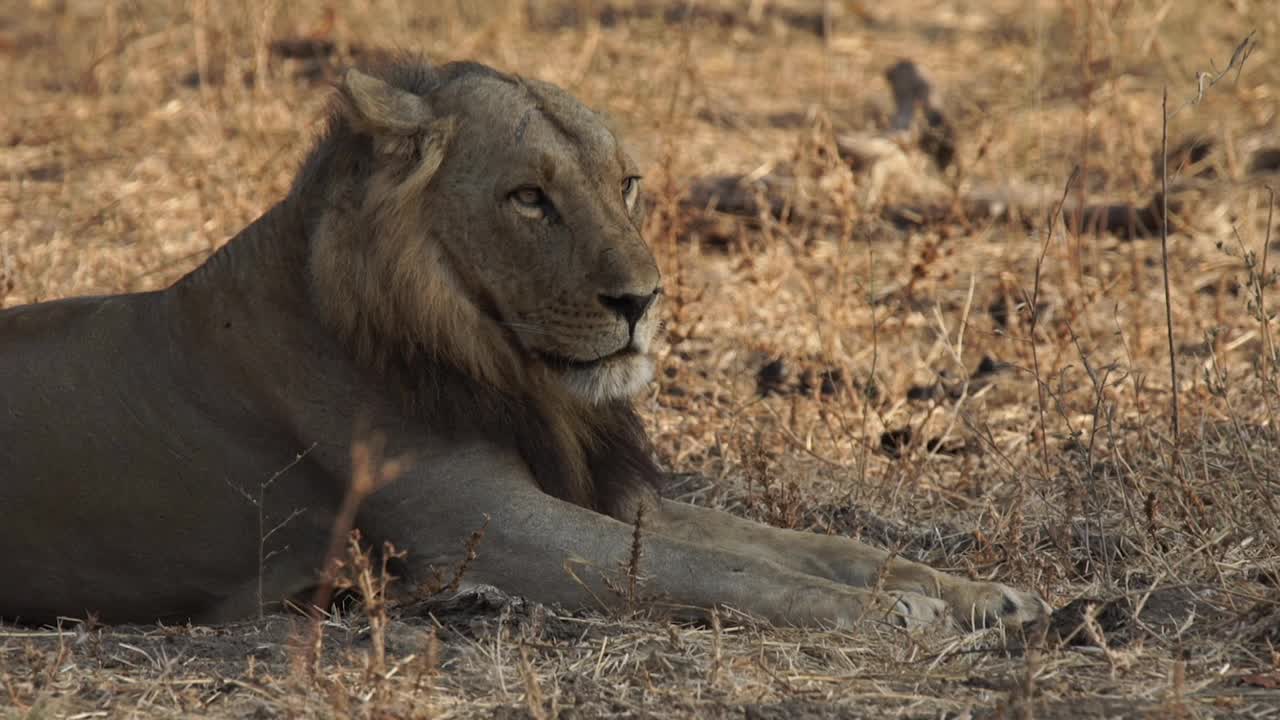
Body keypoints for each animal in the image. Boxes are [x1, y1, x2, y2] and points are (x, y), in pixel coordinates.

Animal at [0, 58, 1049, 627]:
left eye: (626, 185)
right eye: (529, 198)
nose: (643, 300)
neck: (500, 365)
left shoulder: (607, 497)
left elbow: (803, 544)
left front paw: (976, 594)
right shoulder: (485, 531)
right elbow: (725, 571)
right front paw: (892, 613)